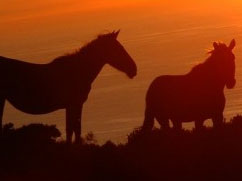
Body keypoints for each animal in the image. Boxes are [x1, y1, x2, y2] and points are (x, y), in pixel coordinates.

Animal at [0, 30, 136, 144]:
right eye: (118, 48)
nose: (134, 69)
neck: (76, 70)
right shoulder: (75, 104)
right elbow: (74, 129)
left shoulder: (71, 106)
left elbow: (72, 129)